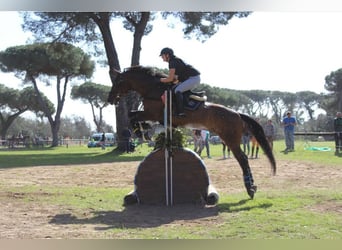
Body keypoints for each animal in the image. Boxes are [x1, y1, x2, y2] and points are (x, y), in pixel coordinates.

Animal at [108, 65, 276, 198]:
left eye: (118, 82)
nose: (110, 99)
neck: (153, 90)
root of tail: (237, 114)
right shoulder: (157, 117)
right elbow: (133, 114)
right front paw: (144, 130)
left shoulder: (153, 114)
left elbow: (133, 115)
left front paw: (142, 132)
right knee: (243, 158)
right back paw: (252, 186)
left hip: (230, 139)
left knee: (242, 159)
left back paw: (250, 188)